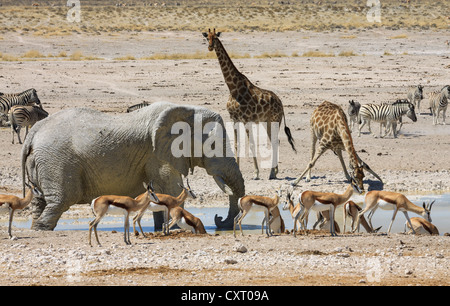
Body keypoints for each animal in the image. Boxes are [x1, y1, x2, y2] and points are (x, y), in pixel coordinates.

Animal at [20, 101, 244, 231]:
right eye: (213, 145)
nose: (219, 220)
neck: (186, 109)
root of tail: (34, 131)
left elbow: (159, 190)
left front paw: (161, 227)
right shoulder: (157, 153)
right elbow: (171, 187)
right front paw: (174, 228)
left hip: (42, 161)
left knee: (41, 200)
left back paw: (34, 226)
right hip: (56, 161)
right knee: (62, 199)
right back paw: (41, 228)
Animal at [203, 28, 296, 179]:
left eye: (215, 38)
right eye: (207, 38)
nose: (210, 47)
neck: (233, 88)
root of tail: (281, 104)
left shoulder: (246, 120)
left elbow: (251, 144)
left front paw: (256, 173)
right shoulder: (234, 119)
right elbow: (237, 144)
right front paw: (238, 170)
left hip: (274, 120)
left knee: (275, 141)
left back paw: (271, 173)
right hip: (267, 122)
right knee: (275, 141)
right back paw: (275, 171)